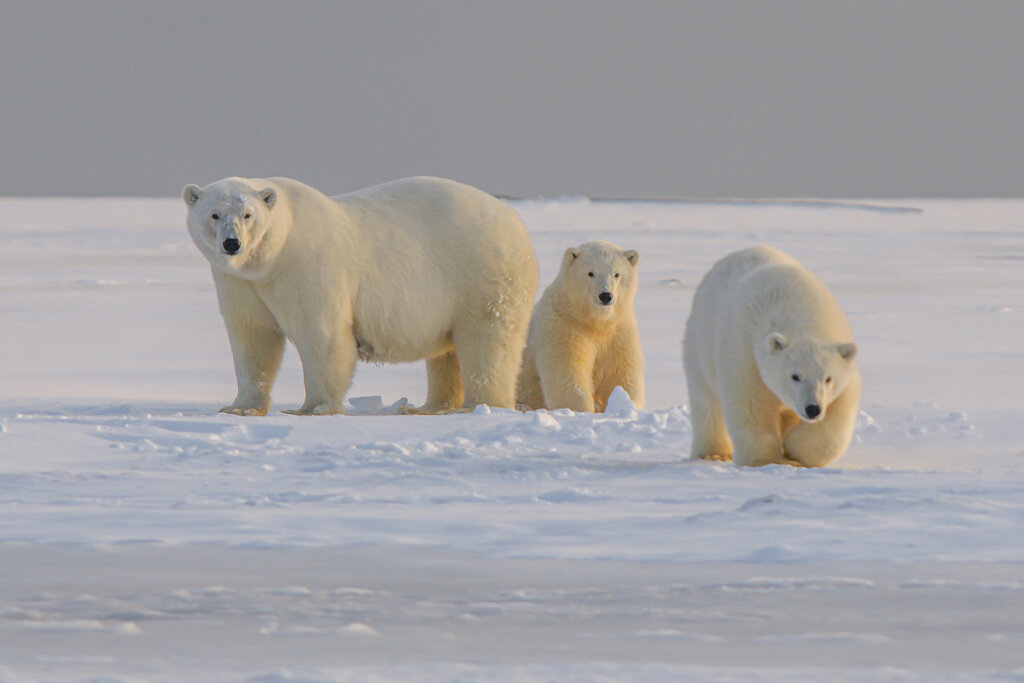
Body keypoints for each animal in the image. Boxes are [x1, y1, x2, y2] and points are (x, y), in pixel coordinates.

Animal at [183, 176, 540, 417]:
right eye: (214, 214)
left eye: (248, 215)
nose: (232, 244)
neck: (273, 256)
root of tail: (514, 220)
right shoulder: (240, 282)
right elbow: (252, 337)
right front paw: (240, 407)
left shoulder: (308, 265)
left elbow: (322, 334)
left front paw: (313, 408)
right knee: (447, 351)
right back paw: (429, 407)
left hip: (481, 275)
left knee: (487, 340)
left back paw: (480, 405)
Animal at [684, 246, 860, 471]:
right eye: (795, 376)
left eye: (828, 378)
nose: (812, 409)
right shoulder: (745, 352)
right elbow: (751, 403)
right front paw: (768, 460)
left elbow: (839, 410)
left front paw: (795, 450)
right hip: (699, 344)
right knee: (706, 401)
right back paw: (713, 453)